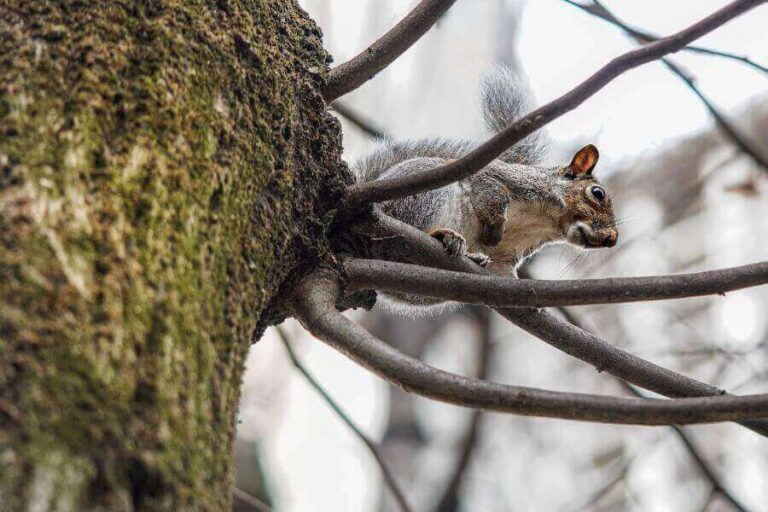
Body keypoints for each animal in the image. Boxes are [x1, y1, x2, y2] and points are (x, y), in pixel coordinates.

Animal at [353, 66, 618, 315]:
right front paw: (494, 229)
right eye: (597, 193)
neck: (547, 221)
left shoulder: (509, 254)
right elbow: (492, 195)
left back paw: (473, 257)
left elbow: (503, 273)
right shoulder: (501, 179)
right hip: (425, 198)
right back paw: (445, 236)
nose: (611, 239)